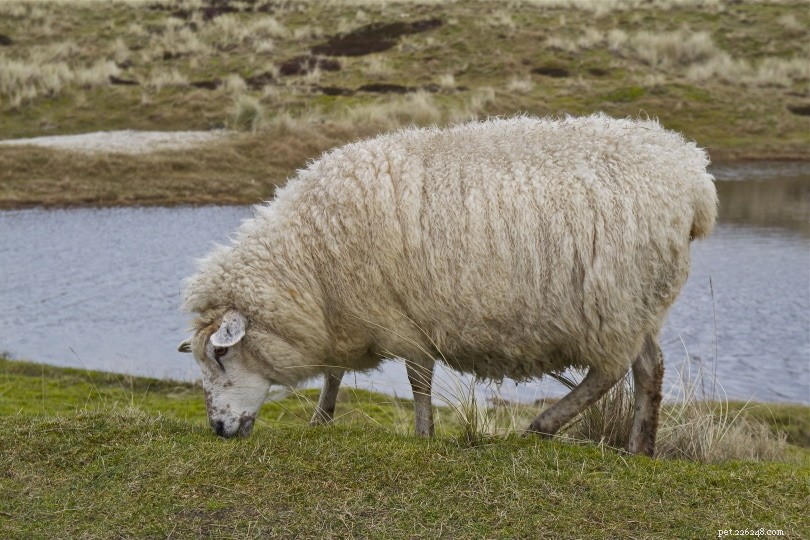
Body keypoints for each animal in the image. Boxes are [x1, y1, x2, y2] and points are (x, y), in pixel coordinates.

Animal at [178, 114, 717, 456]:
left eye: (221, 356)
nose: (218, 429)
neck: (308, 258)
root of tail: (693, 175)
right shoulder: (349, 314)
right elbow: (335, 373)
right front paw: (322, 418)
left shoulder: (399, 317)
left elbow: (418, 379)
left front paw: (423, 434)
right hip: (639, 302)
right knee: (649, 367)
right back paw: (638, 448)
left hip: (613, 299)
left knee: (610, 370)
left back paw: (544, 426)